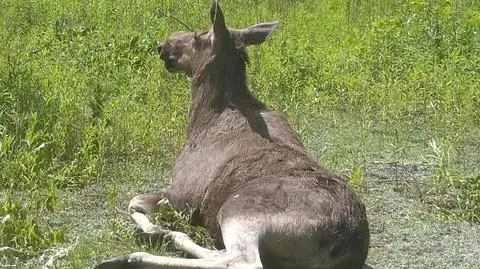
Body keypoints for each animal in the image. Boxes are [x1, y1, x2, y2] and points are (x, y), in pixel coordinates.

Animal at [94, 0, 372, 268]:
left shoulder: (185, 194)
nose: (163, 45)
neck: (201, 119)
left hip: (238, 210)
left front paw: (154, 228)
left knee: (242, 260)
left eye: (198, 36)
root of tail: (343, 243)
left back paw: (131, 256)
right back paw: (172, 238)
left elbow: (134, 202)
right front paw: (163, 230)